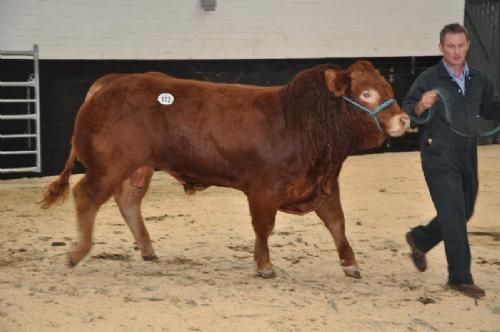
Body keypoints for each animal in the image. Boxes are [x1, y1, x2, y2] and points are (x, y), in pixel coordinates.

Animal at [41, 61, 410, 278]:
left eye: (388, 88)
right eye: (366, 93)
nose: (403, 120)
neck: (301, 123)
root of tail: (113, 81)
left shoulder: (323, 186)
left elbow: (337, 223)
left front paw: (350, 263)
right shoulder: (263, 189)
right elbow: (264, 227)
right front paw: (264, 265)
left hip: (137, 167)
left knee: (128, 200)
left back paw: (147, 249)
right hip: (109, 165)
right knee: (86, 196)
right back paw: (77, 253)